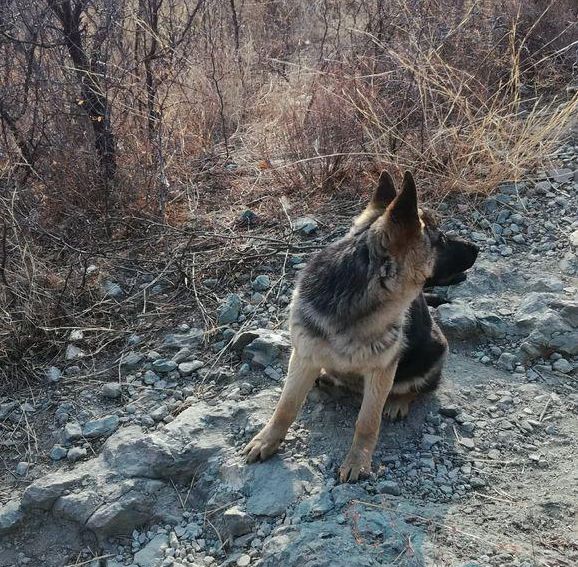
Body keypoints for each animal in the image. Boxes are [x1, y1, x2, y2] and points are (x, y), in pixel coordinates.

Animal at [242, 171, 476, 482]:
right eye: (441, 239)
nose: (477, 248)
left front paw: (357, 460)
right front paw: (267, 439)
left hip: (432, 353)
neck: (353, 299)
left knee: (416, 388)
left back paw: (398, 401)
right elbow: (286, 405)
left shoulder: (381, 371)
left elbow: (367, 421)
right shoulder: (303, 355)